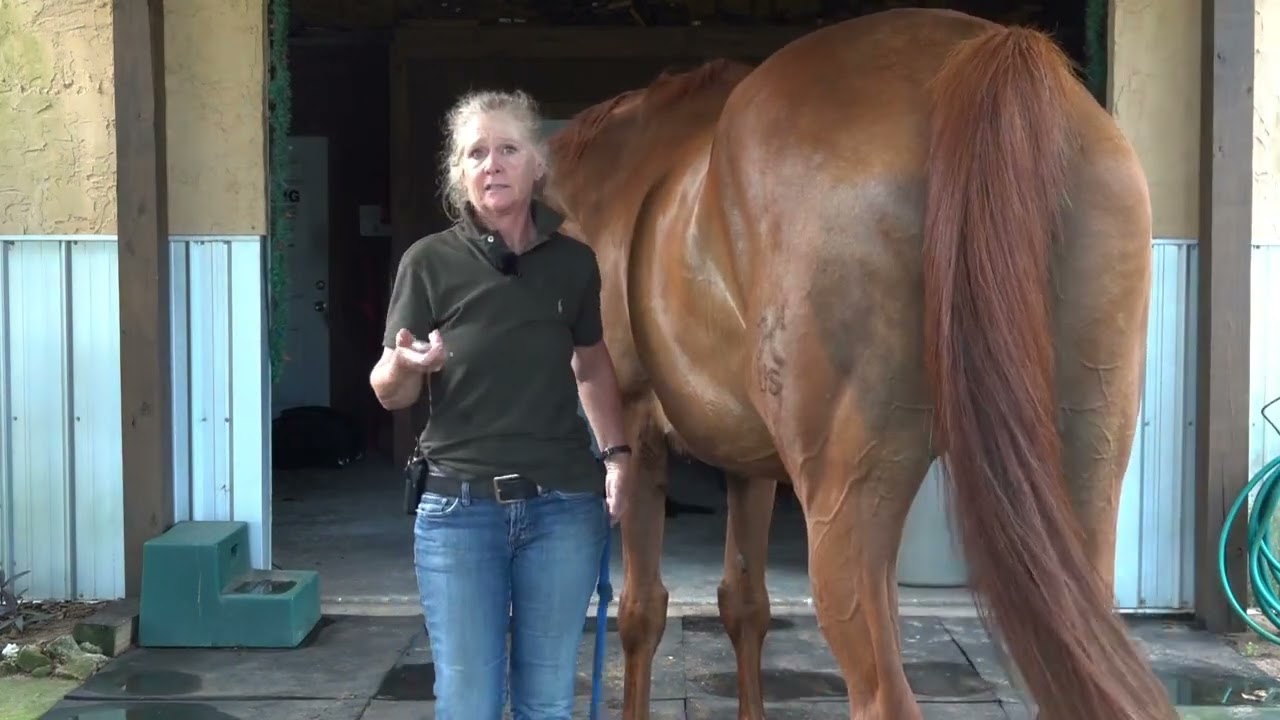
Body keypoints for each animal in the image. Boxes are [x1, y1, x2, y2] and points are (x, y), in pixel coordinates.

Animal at [544, 8, 1176, 720]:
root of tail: (981, 53)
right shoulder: (748, 464)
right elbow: (744, 606)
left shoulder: (638, 431)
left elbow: (640, 611)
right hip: (1084, 475)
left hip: (846, 502)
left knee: (881, 694)